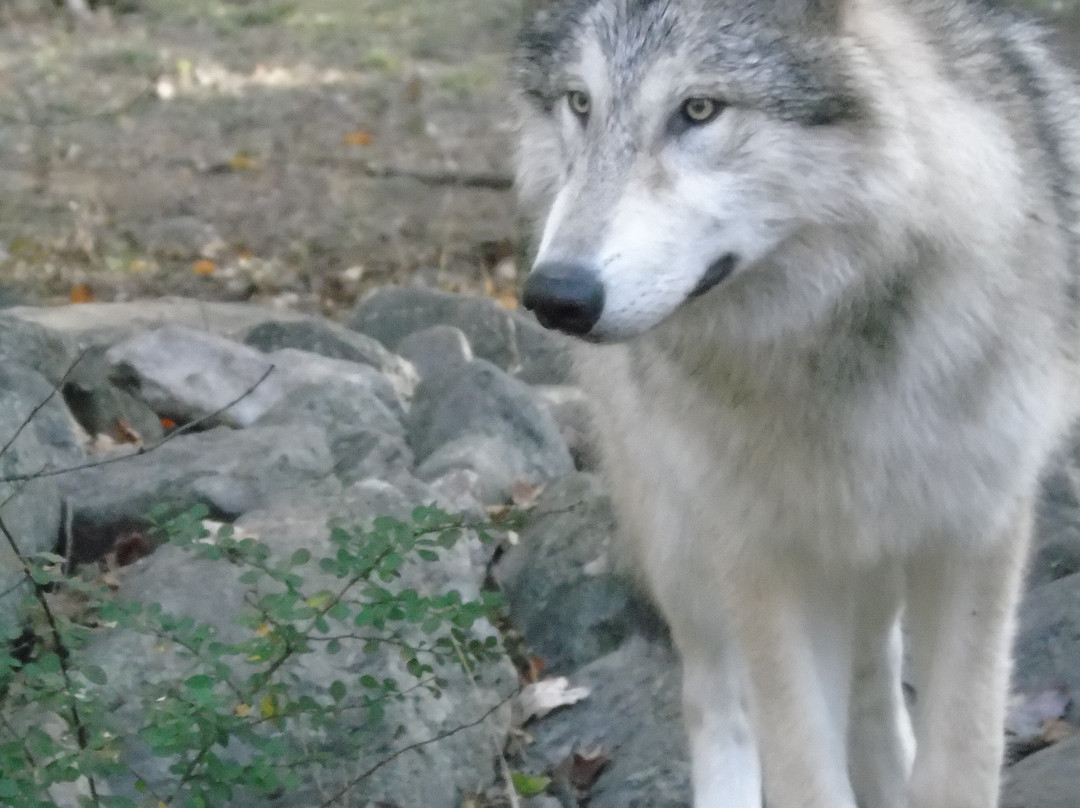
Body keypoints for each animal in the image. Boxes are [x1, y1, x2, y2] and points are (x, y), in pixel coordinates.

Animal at [512, 0, 1080, 806]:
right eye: (579, 103)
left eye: (699, 109)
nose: (557, 295)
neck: (830, 353)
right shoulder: (763, 554)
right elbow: (801, 766)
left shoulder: (976, 532)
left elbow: (959, 761)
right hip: (683, 542)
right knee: (716, 698)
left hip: (870, 551)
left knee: (873, 683)